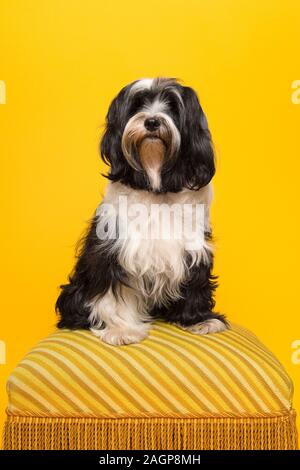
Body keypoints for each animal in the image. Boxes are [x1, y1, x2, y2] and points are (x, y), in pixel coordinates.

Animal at [55, 75, 227, 344]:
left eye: (173, 107)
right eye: (137, 105)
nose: (152, 121)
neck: (157, 188)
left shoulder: (194, 247)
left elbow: (196, 282)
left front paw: (200, 319)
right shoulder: (114, 249)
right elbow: (113, 293)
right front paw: (122, 329)